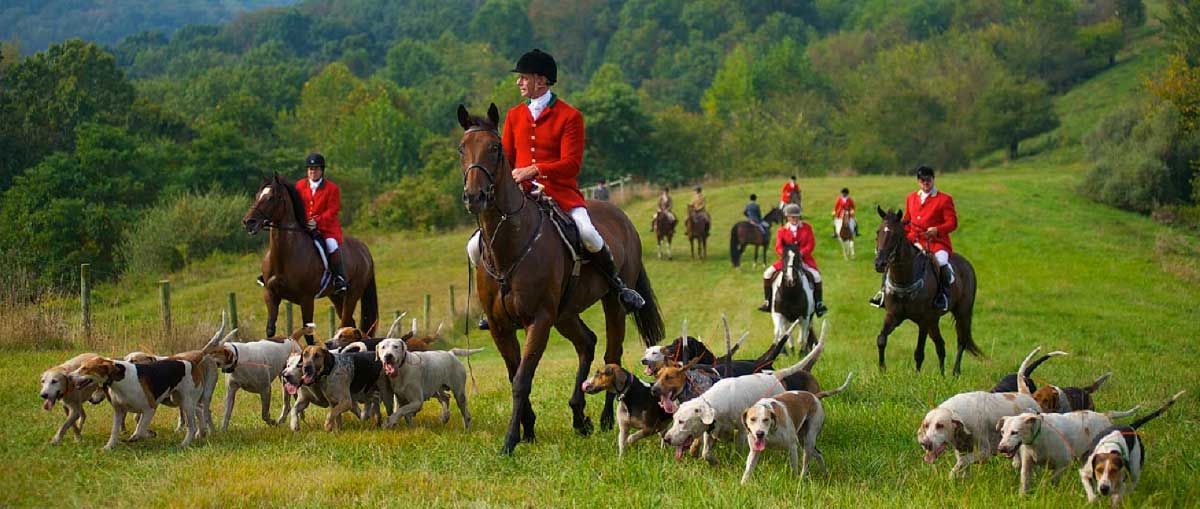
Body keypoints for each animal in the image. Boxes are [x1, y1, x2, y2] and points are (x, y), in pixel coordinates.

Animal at [241, 172, 376, 343]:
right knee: (349, 324)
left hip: (353, 294)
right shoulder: (270, 294)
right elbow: (270, 330)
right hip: (336, 296)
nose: (248, 222)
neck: (285, 257)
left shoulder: (306, 299)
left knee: (345, 321)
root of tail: (364, 249)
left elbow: (308, 335)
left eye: (271, 198)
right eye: (257, 196)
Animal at [456, 104, 667, 453]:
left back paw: (606, 418)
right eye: (462, 148)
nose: (475, 196)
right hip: (565, 314)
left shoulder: (539, 320)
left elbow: (522, 379)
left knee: (612, 353)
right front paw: (528, 429)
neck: (509, 244)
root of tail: (621, 216)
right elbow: (514, 374)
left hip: (611, 303)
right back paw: (579, 416)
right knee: (587, 343)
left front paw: (510, 440)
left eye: (495, 148)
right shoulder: (500, 327)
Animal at [878, 205, 979, 376]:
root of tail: (967, 264)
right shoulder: (893, 315)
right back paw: (942, 375)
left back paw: (955, 373)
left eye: (896, 235)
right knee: (941, 345)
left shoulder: (923, 321)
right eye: (878, 232)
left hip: (962, 313)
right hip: (934, 321)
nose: (879, 263)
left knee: (961, 341)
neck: (905, 278)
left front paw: (916, 376)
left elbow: (919, 352)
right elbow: (881, 339)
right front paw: (882, 370)